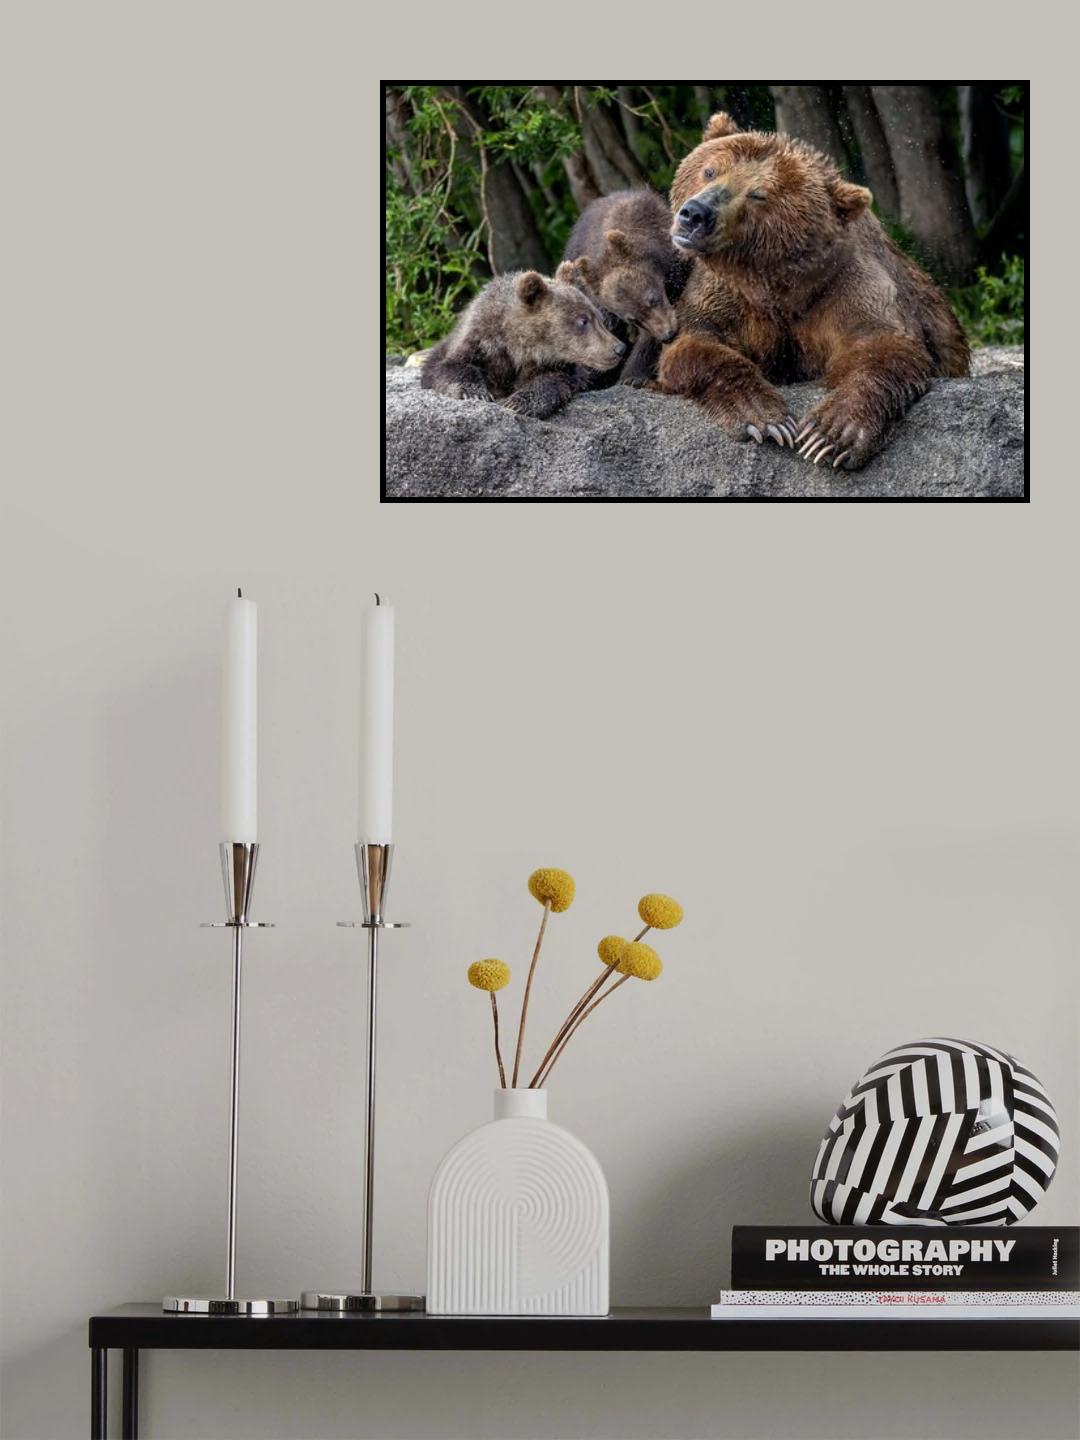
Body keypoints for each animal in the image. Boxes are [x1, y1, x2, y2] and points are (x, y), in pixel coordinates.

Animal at [420, 265, 625, 419]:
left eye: (599, 319)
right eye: (583, 321)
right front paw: (474, 392)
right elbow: (450, 367)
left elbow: (551, 381)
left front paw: (516, 403)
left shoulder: (552, 364)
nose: (619, 348)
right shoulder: (480, 342)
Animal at [562, 188, 692, 388]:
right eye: (633, 319)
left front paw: (633, 375)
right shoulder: (602, 304)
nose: (668, 335)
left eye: (652, 299)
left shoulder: (673, 272)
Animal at [656, 112, 970, 469]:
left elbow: (884, 346)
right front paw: (763, 417)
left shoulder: (846, 288)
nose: (695, 214)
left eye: (758, 194)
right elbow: (695, 342)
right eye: (710, 170)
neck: (780, 285)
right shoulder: (726, 292)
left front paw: (830, 434)